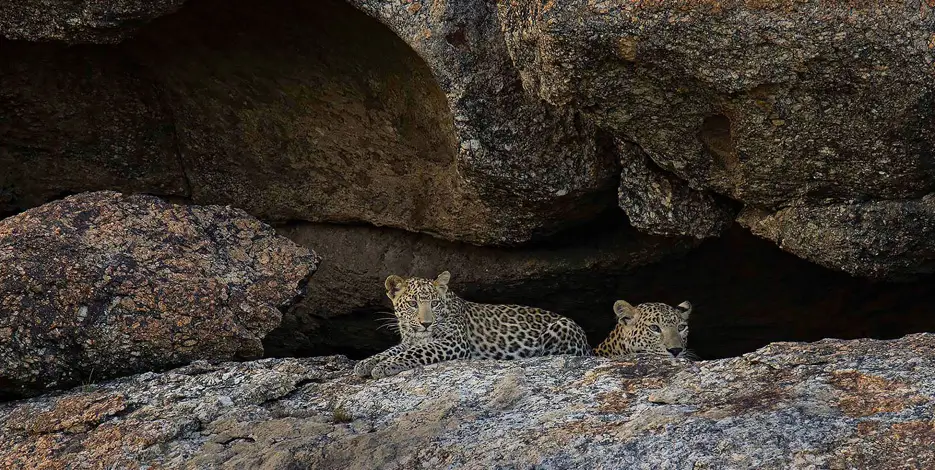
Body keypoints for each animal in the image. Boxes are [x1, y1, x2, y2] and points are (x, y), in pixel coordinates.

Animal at [354, 271, 593, 379]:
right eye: (413, 304)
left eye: (434, 303)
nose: (426, 323)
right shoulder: (409, 341)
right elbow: (392, 350)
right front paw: (366, 363)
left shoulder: (453, 342)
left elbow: (415, 352)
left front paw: (384, 366)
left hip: (562, 326)